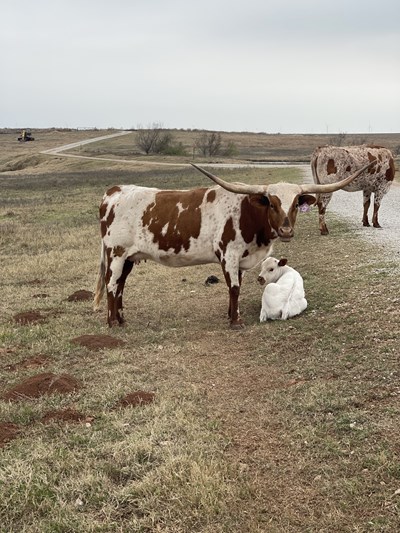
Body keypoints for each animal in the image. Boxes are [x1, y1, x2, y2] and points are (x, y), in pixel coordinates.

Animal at [94, 161, 374, 329]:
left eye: (296, 203)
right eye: (272, 203)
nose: (286, 230)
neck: (246, 213)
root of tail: (113, 191)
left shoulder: (242, 259)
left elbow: (235, 286)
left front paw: (231, 315)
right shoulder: (228, 254)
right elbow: (235, 288)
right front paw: (236, 321)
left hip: (129, 258)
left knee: (120, 287)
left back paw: (121, 319)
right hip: (116, 253)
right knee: (111, 286)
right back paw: (112, 322)